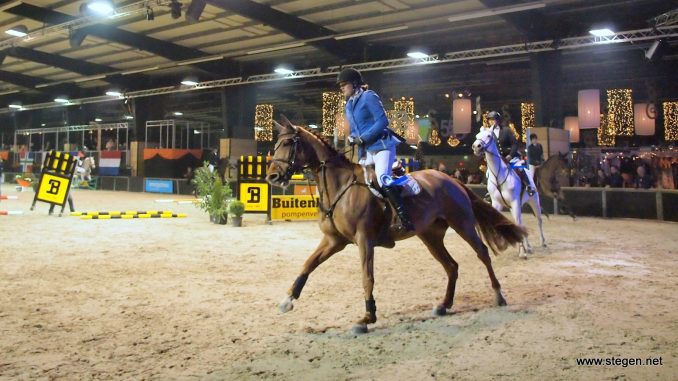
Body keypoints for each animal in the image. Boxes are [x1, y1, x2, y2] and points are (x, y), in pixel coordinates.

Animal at [266, 118, 524, 332]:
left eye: (288, 143)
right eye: (276, 144)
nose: (272, 177)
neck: (341, 186)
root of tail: (451, 179)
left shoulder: (364, 240)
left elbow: (367, 277)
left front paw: (367, 317)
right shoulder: (334, 241)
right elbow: (308, 264)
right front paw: (287, 300)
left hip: (463, 224)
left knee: (483, 253)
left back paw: (498, 296)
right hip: (431, 236)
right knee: (451, 266)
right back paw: (444, 305)